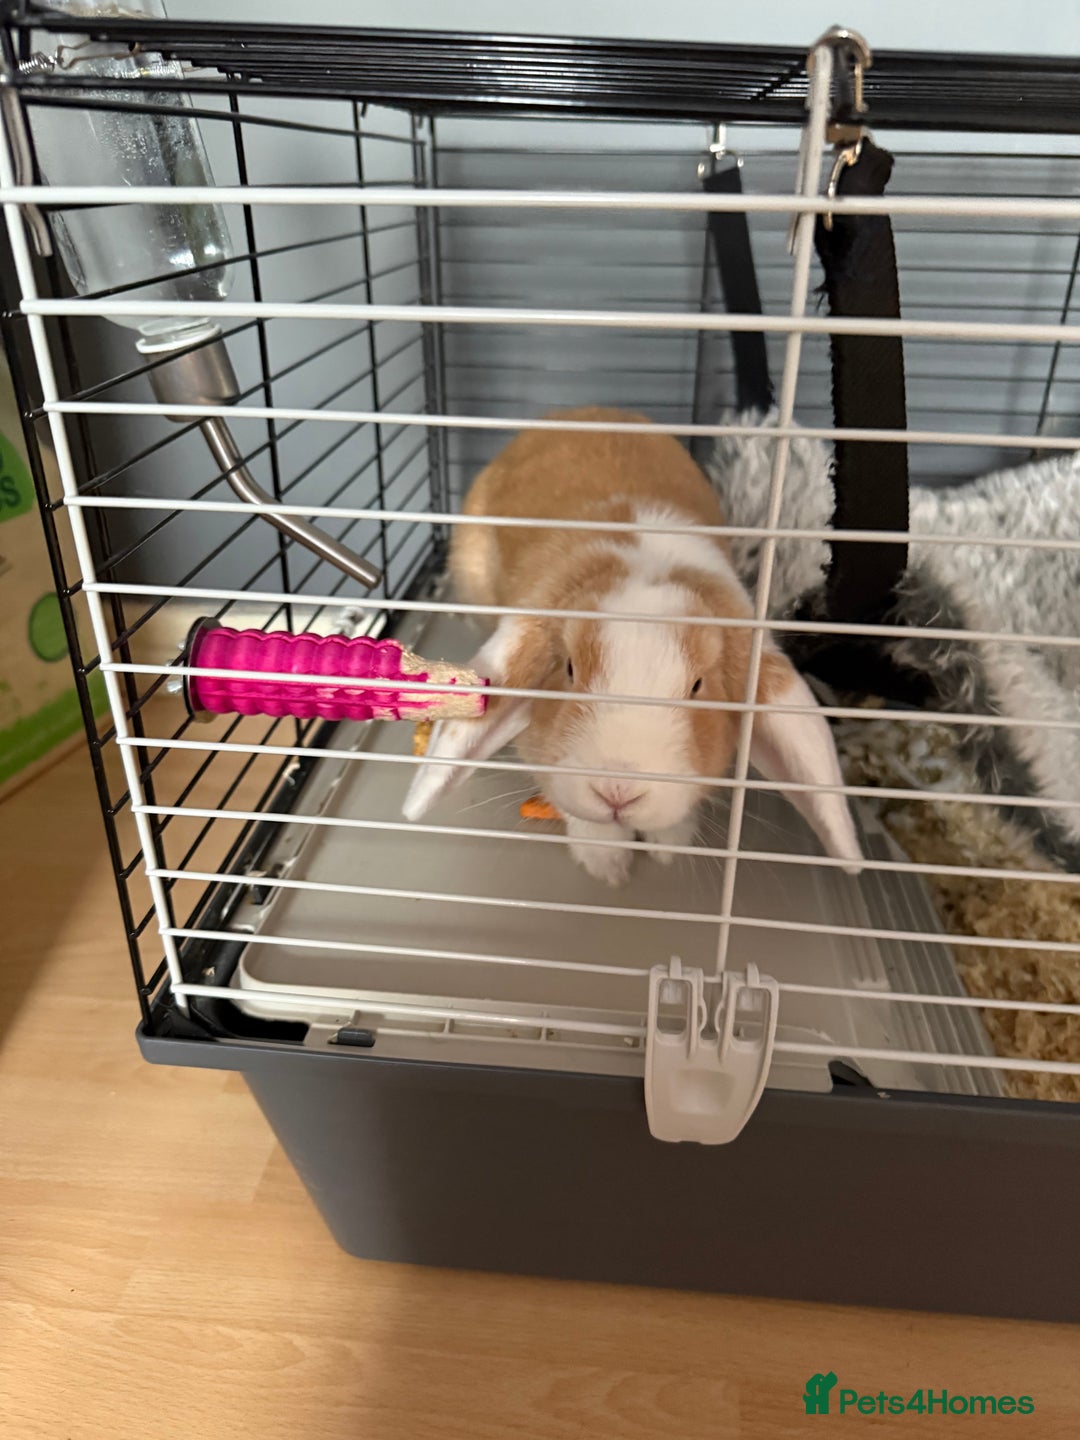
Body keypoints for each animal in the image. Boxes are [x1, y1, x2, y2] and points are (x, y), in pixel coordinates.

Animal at [403, 406, 861, 886]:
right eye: (569, 669)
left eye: (698, 686)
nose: (617, 792)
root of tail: (579, 411)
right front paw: (607, 864)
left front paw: (667, 846)